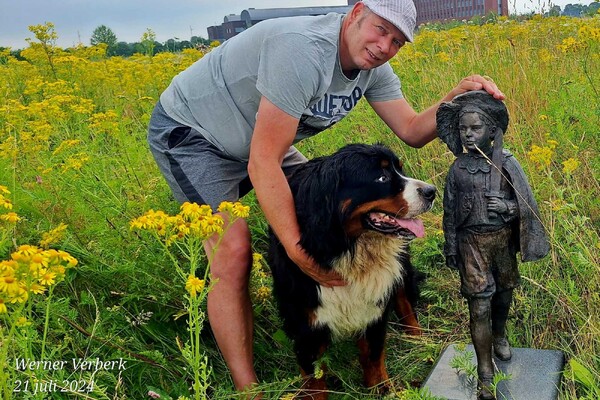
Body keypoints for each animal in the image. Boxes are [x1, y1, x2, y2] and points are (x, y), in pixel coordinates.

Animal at [268, 143, 436, 396]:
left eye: (400, 169)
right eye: (382, 177)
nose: (431, 191)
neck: (350, 250)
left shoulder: (375, 310)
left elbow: (374, 357)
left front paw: (382, 389)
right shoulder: (305, 329)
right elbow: (315, 384)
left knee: (406, 304)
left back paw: (419, 341)